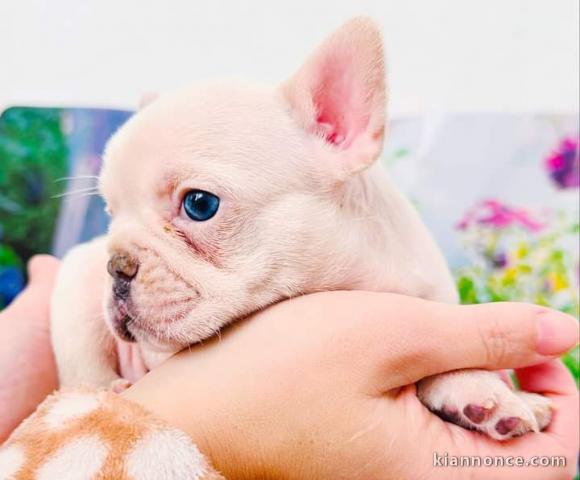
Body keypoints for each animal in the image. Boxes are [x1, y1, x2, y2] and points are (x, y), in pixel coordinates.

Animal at [51, 17, 552, 438]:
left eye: (199, 204)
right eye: (110, 212)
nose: (115, 263)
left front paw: (479, 389)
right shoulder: (78, 273)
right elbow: (79, 346)